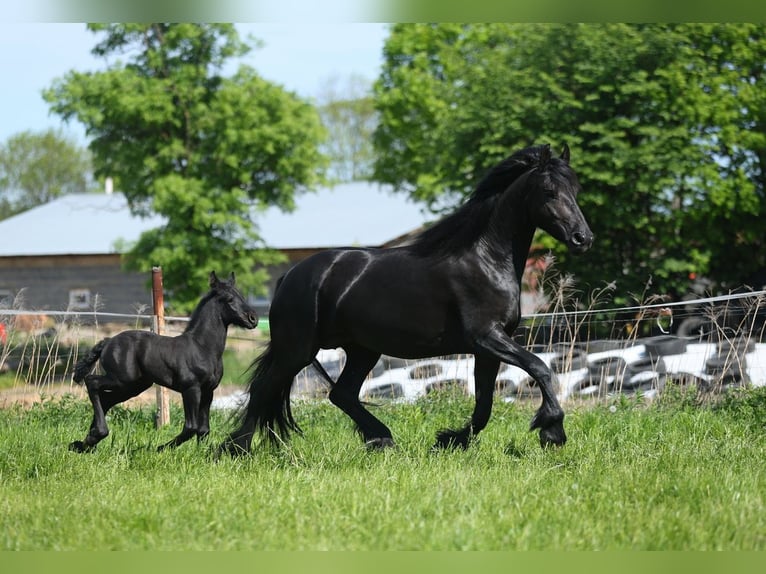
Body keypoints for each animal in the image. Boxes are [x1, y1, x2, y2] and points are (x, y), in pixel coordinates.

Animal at [70, 274, 260, 454]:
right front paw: (160, 449)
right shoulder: (191, 389)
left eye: (242, 296)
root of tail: (108, 342)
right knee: (92, 382)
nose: (253, 319)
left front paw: (202, 455)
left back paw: (87, 441)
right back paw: (95, 436)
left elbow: (204, 429)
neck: (202, 347)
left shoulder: (208, 391)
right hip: (121, 379)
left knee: (106, 399)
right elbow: (191, 428)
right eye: (229, 299)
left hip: (133, 386)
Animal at [220, 142, 592, 456]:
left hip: (362, 349)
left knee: (340, 394)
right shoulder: (487, 338)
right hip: (297, 349)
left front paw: (449, 440)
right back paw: (234, 449)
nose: (583, 238)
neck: (485, 259)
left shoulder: (489, 347)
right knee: (263, 390)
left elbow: (485, 405)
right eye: (549, 191)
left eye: (575, 190)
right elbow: (540, 368)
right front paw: (552, 431)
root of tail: (290, 276)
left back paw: (381, 439)